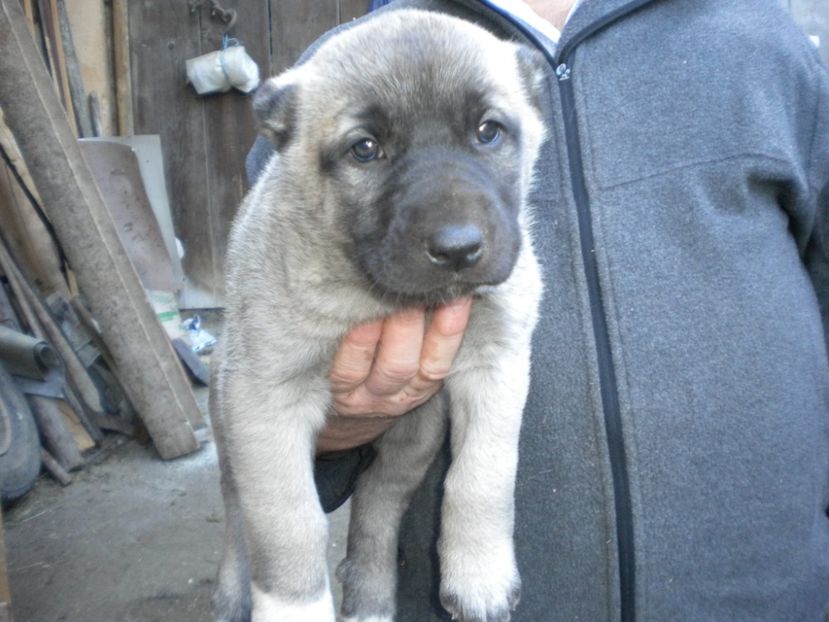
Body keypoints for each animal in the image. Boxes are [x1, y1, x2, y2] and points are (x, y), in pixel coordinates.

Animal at [209, 9, 544, 622]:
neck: (380, 295)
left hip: (417, 433)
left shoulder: (498, 363)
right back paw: (231, 593)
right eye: (364, 149)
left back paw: (370, 594)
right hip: (228, 427)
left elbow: (482, 475)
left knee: (380, 503)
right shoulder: (263, 403)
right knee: (240, 516)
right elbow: (288, 523)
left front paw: (480, 574)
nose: (458, 248)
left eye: (488, 132)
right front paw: (293, 607)